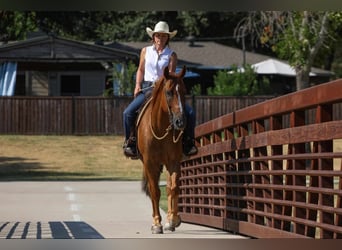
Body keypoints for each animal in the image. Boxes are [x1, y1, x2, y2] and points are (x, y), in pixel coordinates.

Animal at [136, 65, 187, 233]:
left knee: (170, 187)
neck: (159, 128)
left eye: (184, 91)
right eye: (169, 92)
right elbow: (155, 191)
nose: (180, 122)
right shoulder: (150, 163)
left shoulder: (173, 161)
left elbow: (174, 188)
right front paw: (156, 223)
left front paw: (172, 220)